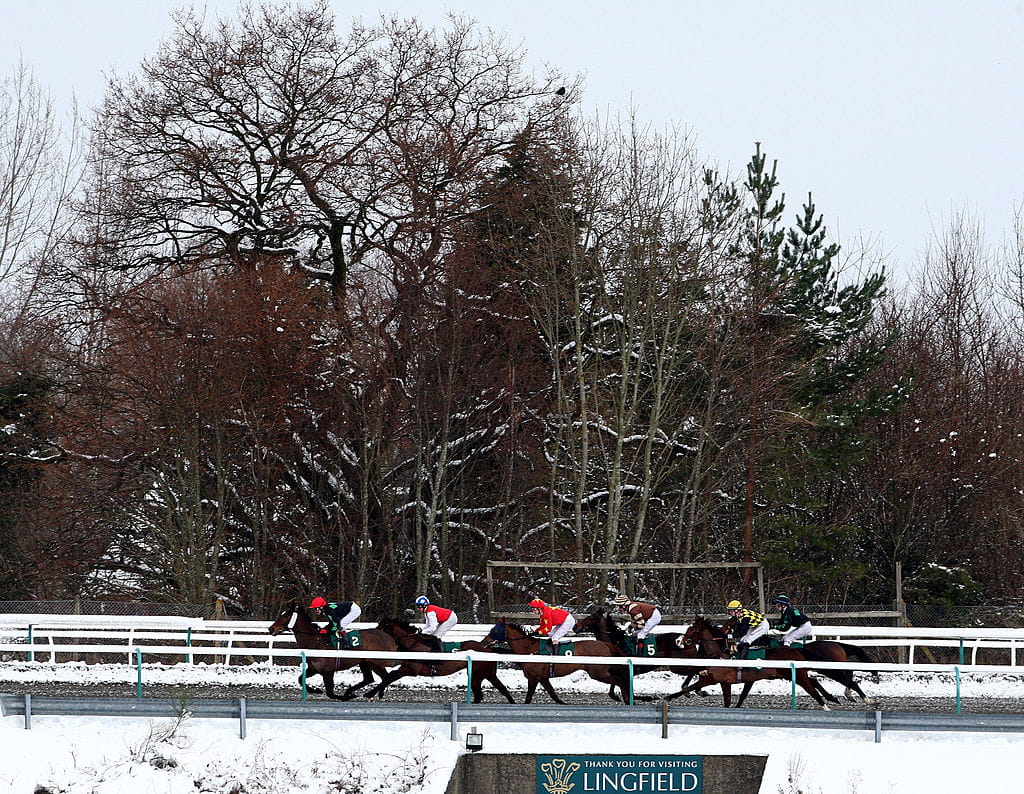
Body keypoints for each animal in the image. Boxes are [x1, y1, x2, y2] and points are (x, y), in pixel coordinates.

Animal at [366, 618, 516, 704]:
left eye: (381, 626)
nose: (373, 633)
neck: (414, 644)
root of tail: (489, 649)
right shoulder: (406, 668)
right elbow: (389, 677)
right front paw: (375, 693)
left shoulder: (411, 670)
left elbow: (390, 676)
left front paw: (369, 693)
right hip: (487, 674)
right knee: (500, 689)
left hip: (477, 675)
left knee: (482, 694)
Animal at [479, 618, 630, 704]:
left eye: (494, 630)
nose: (483, 642)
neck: (529, 649)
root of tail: (605, 644)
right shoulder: (543, 678)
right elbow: (554, 695)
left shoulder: (533, 678)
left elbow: (528, 698)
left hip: (598, 673)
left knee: (621, 681)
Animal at [675, 618, 835, 713]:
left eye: (692, 629)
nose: (680, 641)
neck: (721, 653)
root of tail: (796, 650)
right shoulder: (729, 681)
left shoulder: (718, 679)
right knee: (813, 681)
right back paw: (831, 699)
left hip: (796, 675)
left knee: (811, 688)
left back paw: (827, 706)